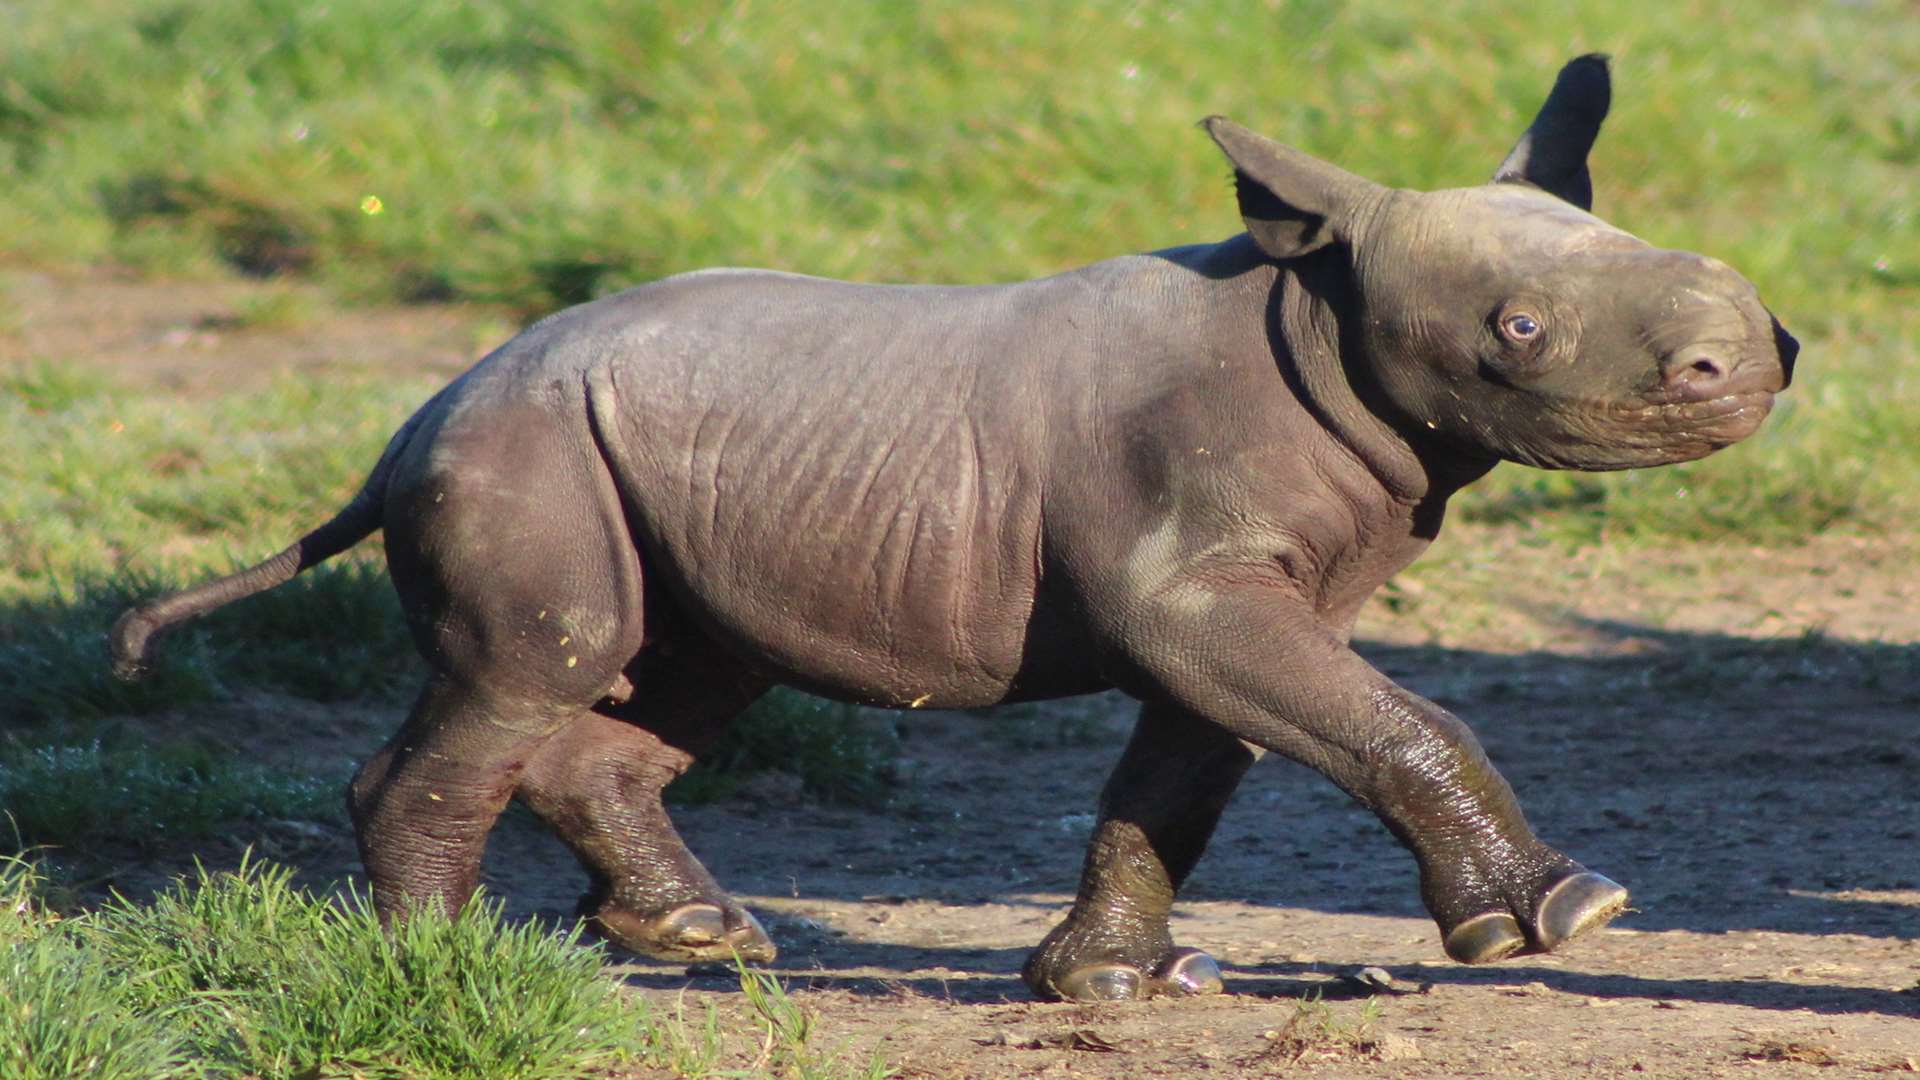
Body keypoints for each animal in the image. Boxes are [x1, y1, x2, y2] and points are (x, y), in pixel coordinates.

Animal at [116, 54, 1797, 999]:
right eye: (1517, 330)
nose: (1760, 353)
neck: (1315, 316)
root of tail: (415, 416)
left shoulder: (1237, 594)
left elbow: (1187, 768)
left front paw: (1117, 985)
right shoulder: (1191, 578)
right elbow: (1390, 718)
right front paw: (1560, 918)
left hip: (644, 455)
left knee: (678, 676)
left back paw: (702, 944)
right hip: (521, 447)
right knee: (538, 664)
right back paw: (443, 967)